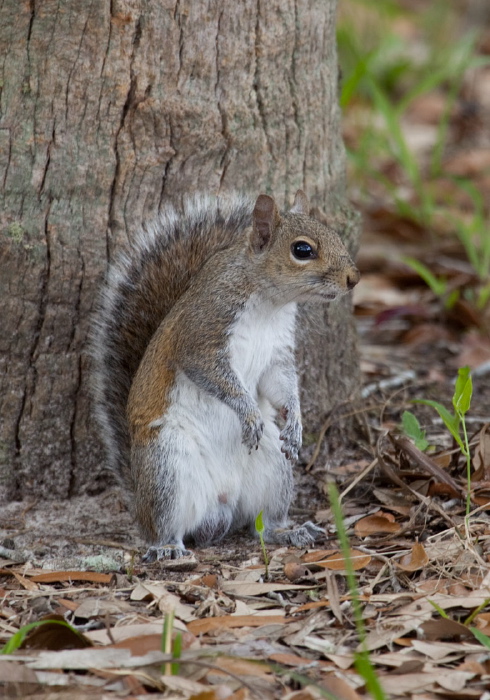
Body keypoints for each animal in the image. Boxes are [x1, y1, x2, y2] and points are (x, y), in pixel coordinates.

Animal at [92, 193, 360, 564]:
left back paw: (288, 531)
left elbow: (280, 384)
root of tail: (220, 508)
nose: (354, 278)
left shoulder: (277, 353)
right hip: (166, 467)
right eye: (303, 250)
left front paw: (295, 422)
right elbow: (215, 376)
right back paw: (166, 547)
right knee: (163, 525)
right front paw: (247, 412)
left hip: (273, 468)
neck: (268, 303)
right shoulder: (202, 335)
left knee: (262, 524)